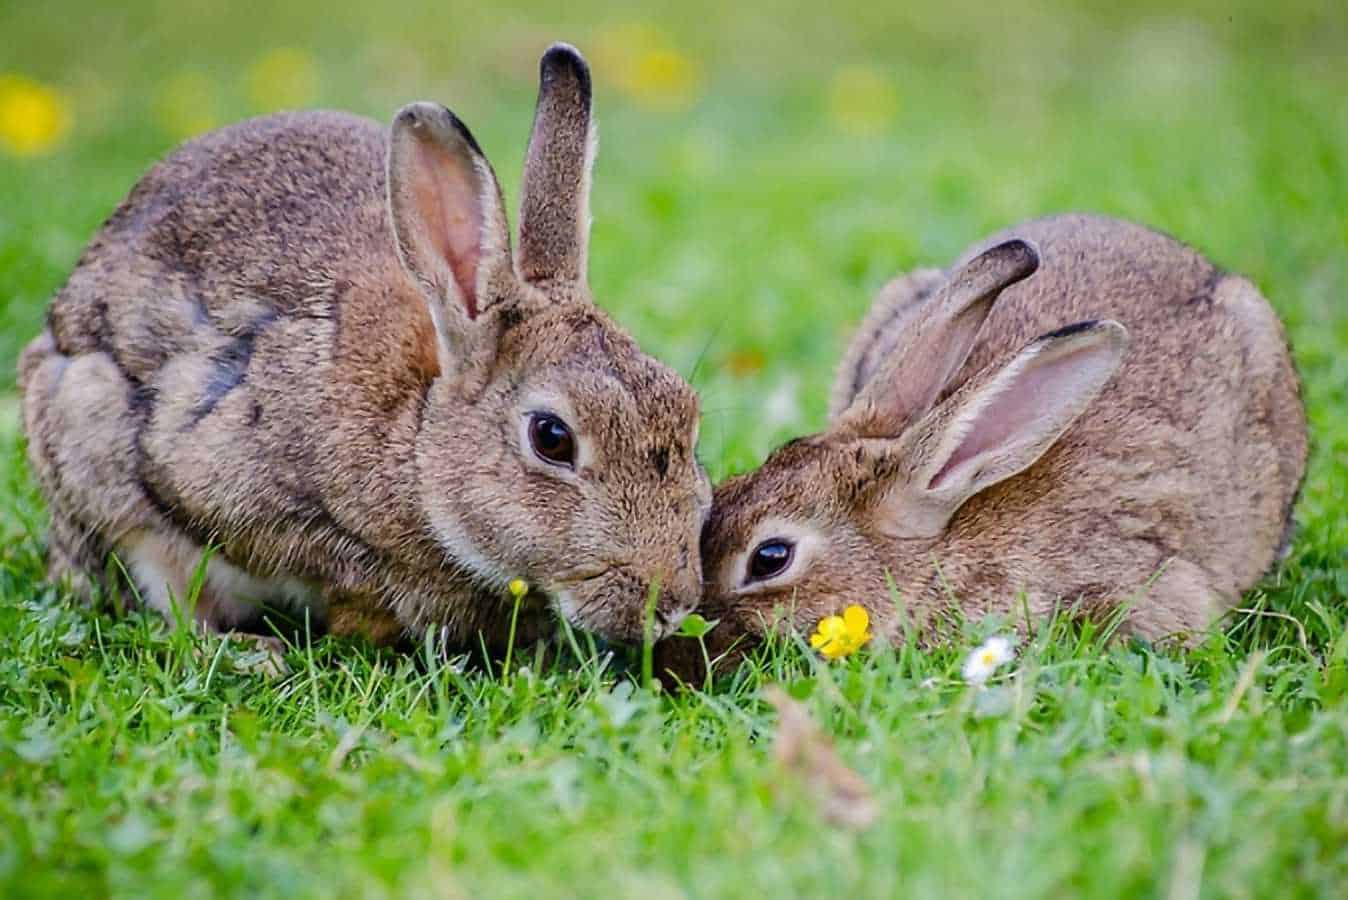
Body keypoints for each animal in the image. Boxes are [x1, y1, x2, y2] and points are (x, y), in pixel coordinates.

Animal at [21, 43, 711, 654]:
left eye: (687, 411)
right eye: (552, 437)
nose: (672, 603)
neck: (418, 439)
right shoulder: (220, 478)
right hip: (89, 432)